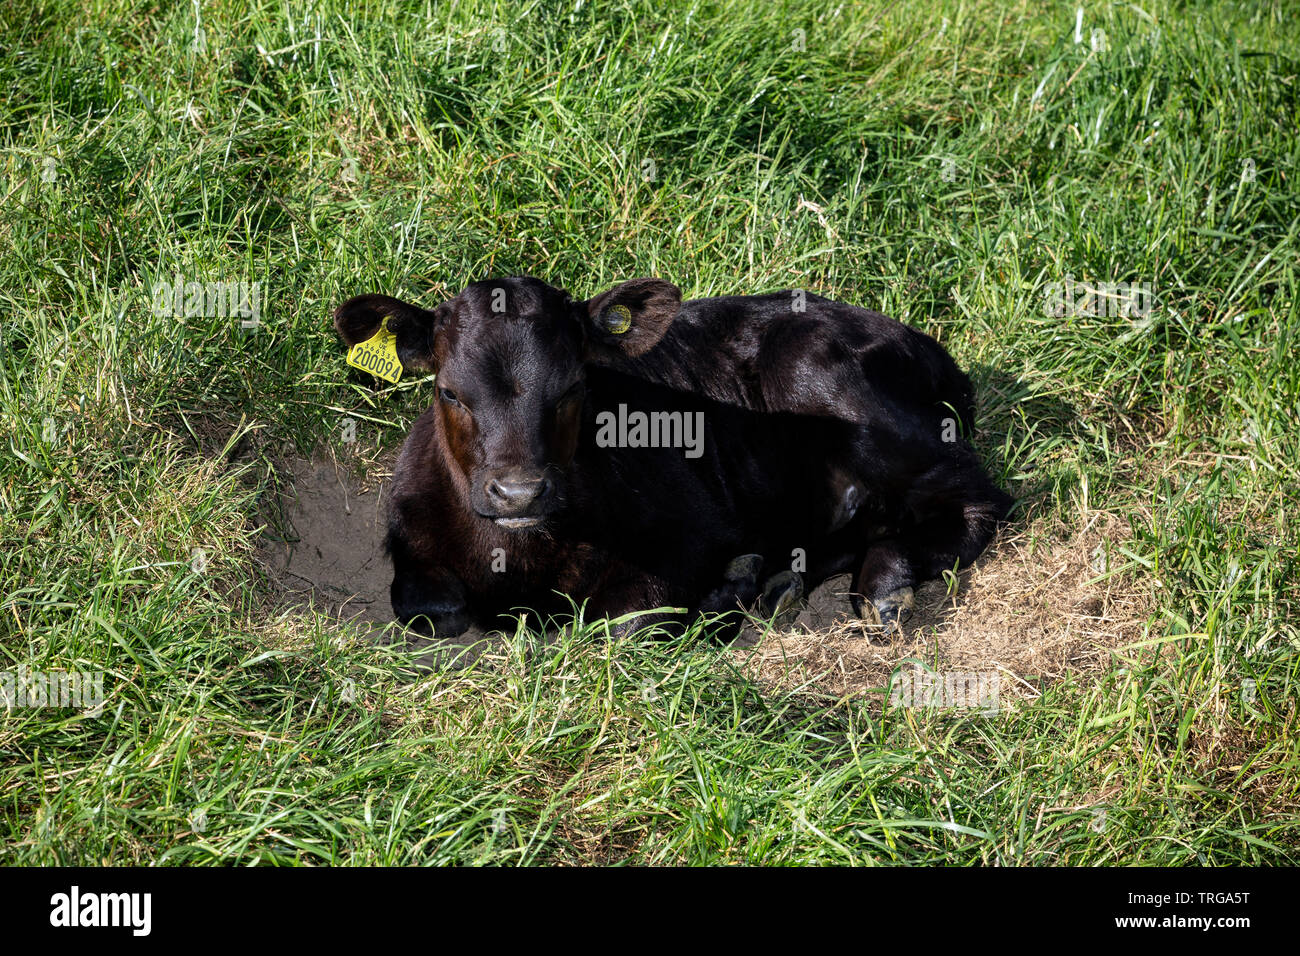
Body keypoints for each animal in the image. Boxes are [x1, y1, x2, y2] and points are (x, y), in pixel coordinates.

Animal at [333, 276, 1011, 641]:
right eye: (450, 391)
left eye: (574, 386)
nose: (519, 492)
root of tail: (926, 346)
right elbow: (428, 609)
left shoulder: (694, 532)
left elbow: (622, 623)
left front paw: (713, 599)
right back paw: (779, 581)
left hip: (818, 375)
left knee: (979, 498)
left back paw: (882, 588)